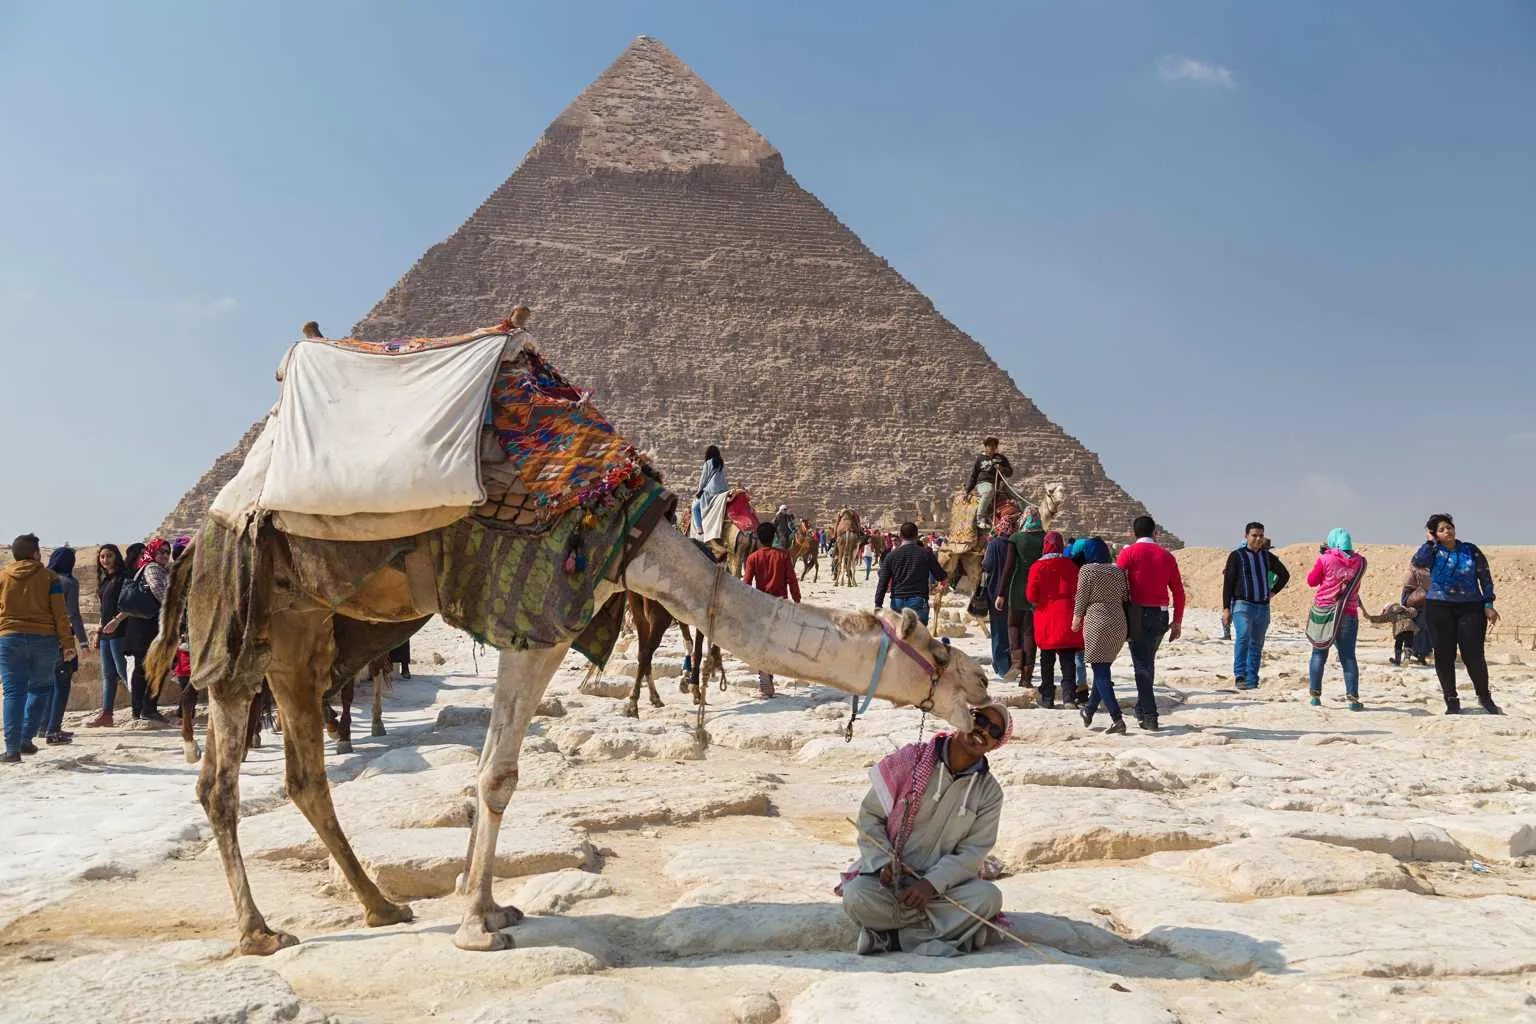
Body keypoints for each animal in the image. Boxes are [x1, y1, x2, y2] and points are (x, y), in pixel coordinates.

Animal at [149, 513, 989, 958]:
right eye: (945, 652)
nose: (987, 701)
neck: (644, 549)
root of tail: (194, 541)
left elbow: (493, 766)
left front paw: (484, 906)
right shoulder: (541, 620)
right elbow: (497, 773)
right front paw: (477, 927)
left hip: (300, 635)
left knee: (303, 776)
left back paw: (381, 907)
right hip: (243, 627)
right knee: (219, 781)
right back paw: (258, 931)